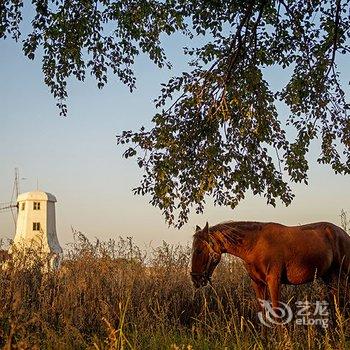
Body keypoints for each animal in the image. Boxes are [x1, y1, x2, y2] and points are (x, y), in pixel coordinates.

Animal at [191, 221, 350, 308]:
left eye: (199, 250)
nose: (195, 279)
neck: (255, 245)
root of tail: (344, 234)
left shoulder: (274, 282)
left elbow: (276, 312)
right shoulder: (258, 284)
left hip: (343, 276)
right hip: (330, 278)